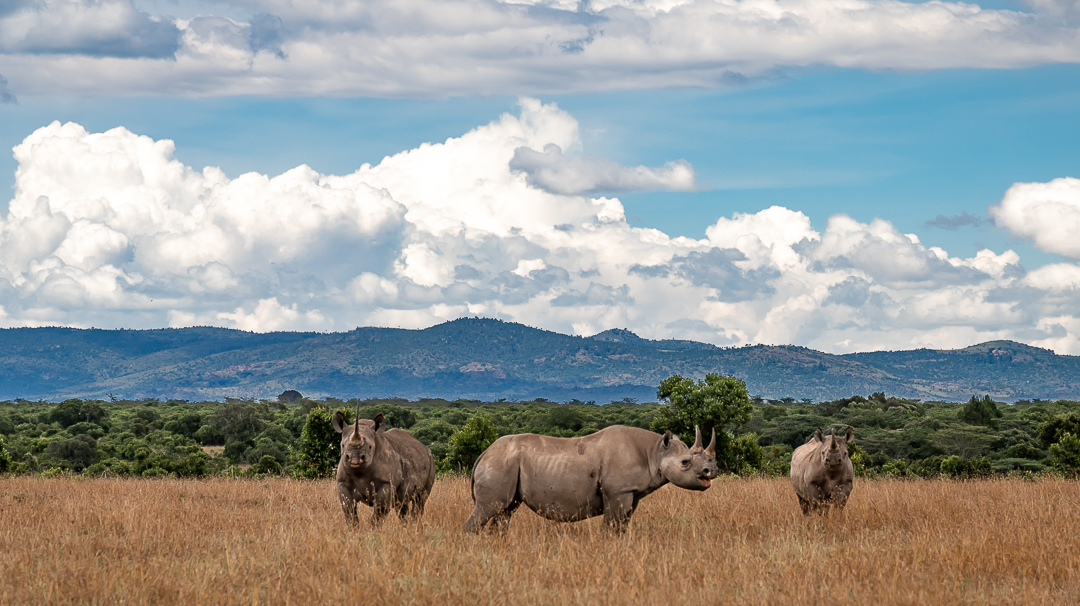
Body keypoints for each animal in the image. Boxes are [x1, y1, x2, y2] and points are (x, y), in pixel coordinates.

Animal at [464, 424, 719, 533]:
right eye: (685, 463)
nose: (712, 471)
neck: (655, 452)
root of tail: (483, 453)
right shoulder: (618, 492)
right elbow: (611, 526)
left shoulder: (630, 494)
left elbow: (622, 526)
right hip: (500, 464)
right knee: (489, 509)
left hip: (506, 464)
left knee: (504, 512)